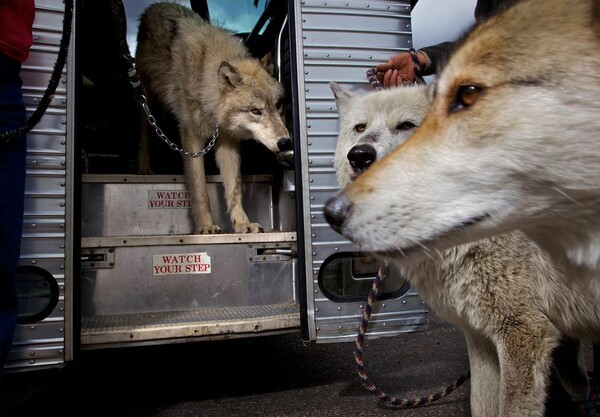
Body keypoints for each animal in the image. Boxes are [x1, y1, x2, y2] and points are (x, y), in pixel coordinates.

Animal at [133, 0, 290, 234]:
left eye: (278, 106)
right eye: (255, 111)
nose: (285, 142)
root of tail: (155, 5)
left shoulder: (227, 141)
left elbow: (234, 187)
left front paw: (242, 223)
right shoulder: (191, 139)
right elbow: (199, 189)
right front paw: (206, 226)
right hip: (148, 99)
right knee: (144, 127)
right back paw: (143, 168)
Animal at [330, 81, 596, 416]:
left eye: (407, 126)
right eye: (360, 128)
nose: (360, 155)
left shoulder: (523, 331)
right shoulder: (480, 336)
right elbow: (480, 404)